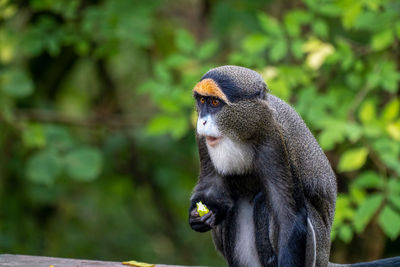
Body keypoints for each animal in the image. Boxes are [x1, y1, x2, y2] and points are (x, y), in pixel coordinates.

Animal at [188, 65, 400, 267]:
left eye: (215, 103)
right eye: (202, 101)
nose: (202, 121)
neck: (244, 130)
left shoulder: (275, 139)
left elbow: (288, 214)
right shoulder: (202, 140)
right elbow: (211, 187)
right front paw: (198, 217)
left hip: (317, 250)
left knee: (264, 201)